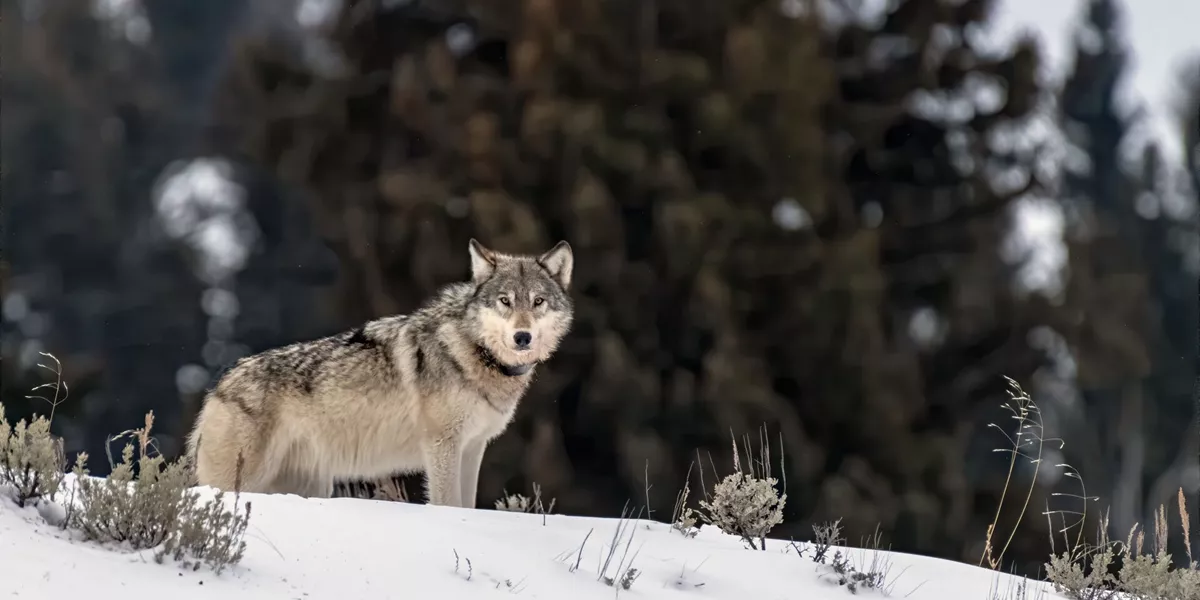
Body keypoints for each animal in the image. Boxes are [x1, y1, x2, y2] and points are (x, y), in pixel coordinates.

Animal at [185, 239, 574, 508]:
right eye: (504, 301)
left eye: (537, 301)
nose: (522, 337)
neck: (474, 351)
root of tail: (221, 384)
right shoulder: (442, 446)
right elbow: (449, 504)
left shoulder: (472, 447)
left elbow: (468, 505)